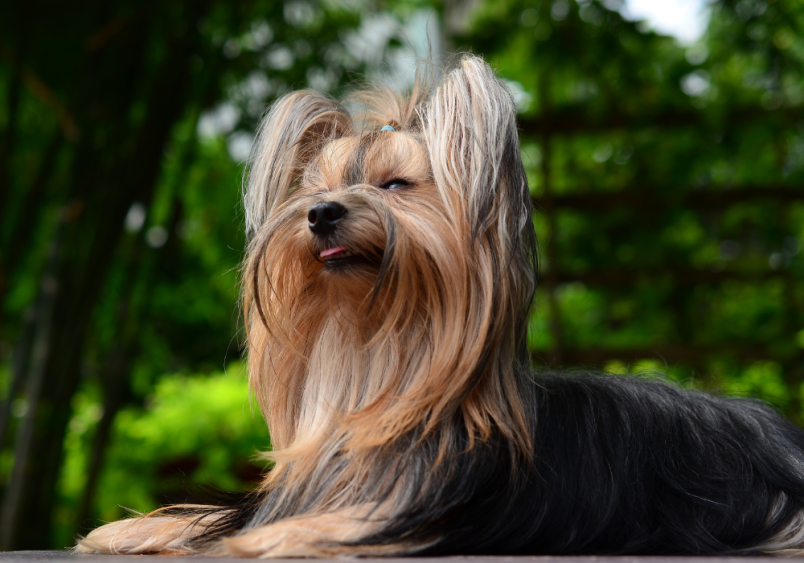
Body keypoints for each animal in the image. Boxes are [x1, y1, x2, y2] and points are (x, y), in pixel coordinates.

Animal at [77, 55, 804, 556]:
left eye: (396, 185)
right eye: (313, 190)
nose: (320, 213)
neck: (373, 350)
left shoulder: (417, 509)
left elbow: (326, 526)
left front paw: (260, 541)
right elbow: (209, 515)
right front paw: (127, 529)